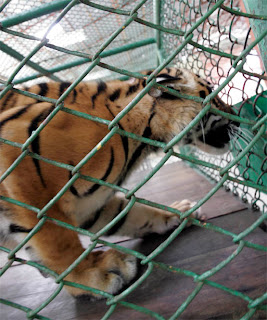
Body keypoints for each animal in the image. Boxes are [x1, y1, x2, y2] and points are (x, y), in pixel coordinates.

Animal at [0, 67, 239, 298]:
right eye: (213, 94)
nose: (237, 117)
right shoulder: (18, 151)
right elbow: (56, 240)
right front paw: (93, 275)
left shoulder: (90, 204)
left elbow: (130, 215)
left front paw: (175, 212)